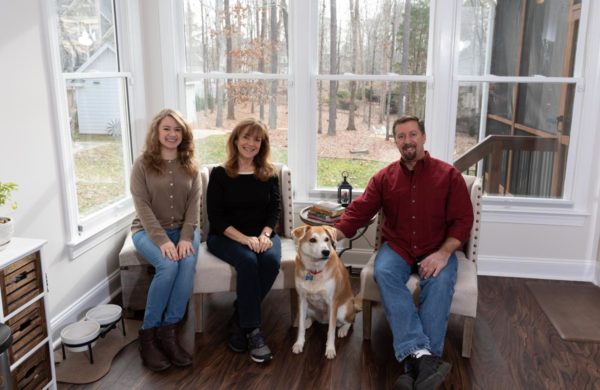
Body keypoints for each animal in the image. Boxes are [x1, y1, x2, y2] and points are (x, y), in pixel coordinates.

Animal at [290, 224, 356, 358]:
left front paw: (330, 349)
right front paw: (299, 343)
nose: (326, 252)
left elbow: (331, 331)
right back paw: (307, 322)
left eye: (327, 239)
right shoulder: (302, 300)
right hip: (310, 308)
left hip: (342, 311)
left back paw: (343, 330)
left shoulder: (332, 303)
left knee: (350, 321)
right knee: (311, 319)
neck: (315, 270)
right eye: (312, 240)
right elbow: (300, 327)